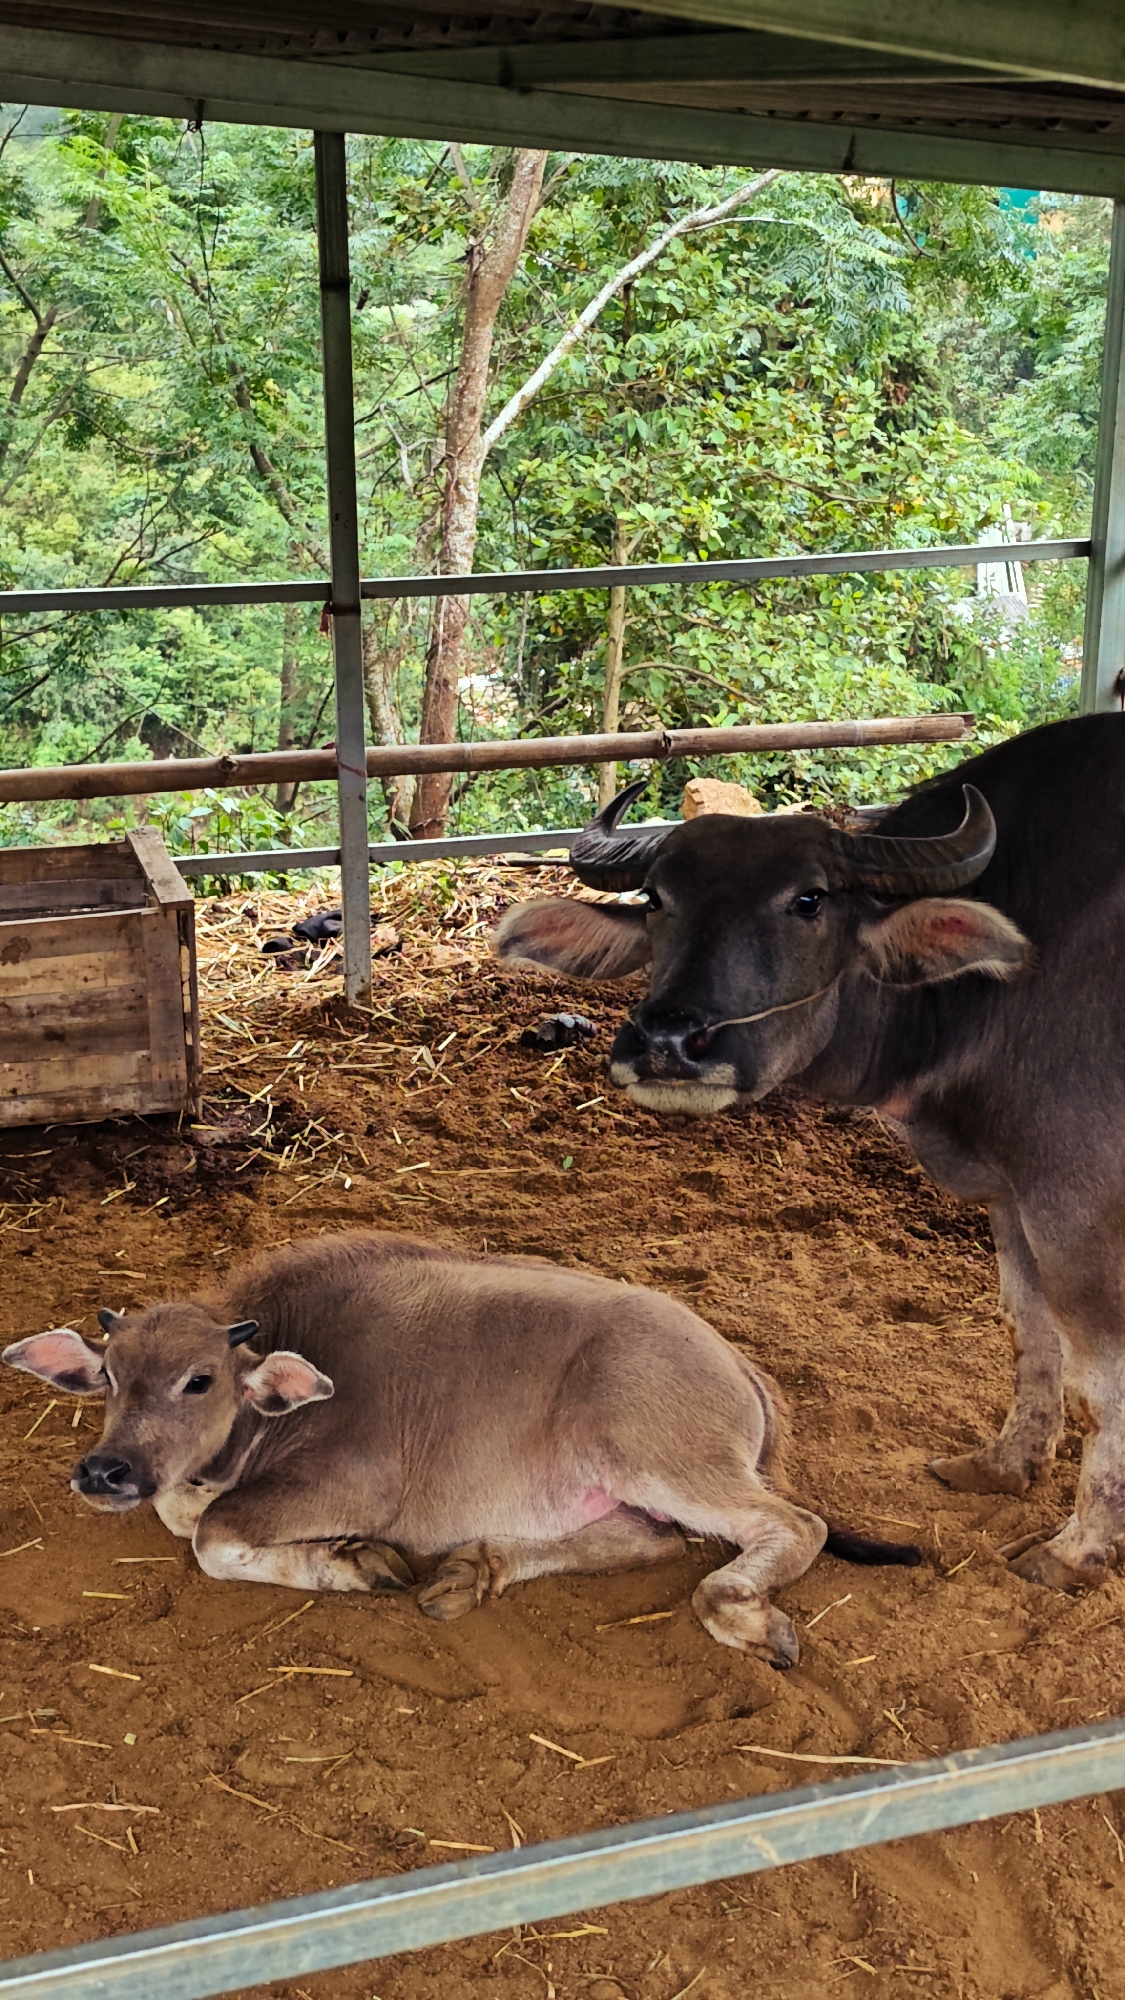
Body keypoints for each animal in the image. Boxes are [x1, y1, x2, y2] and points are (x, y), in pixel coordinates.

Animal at [2, 1230, 916, 1669]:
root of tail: (735, 1362)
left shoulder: (346, 1484)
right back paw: (471, 1570)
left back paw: (744, 1614)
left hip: (663, 1460)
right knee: (645, 1538)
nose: (104, 1471)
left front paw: (352, 1562)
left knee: (790, 1527)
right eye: (109, 1377)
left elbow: (209, 1536)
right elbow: (180, 1511)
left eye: (197, 1381)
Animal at [493, 714, 1125, 1595]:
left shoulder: (1078, 1201)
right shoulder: (1010, 1192)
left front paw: (1076, 1551)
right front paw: (1002, 1465)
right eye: (657, 899)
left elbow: (1098, 1385)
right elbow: (1028, 1332)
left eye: (808, 899)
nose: (666, 1042)